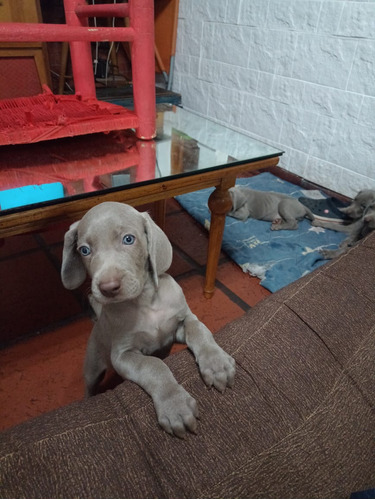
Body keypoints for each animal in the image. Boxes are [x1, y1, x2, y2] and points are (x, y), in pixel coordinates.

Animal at [61, 202, 235, 438]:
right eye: (84, 250)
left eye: (128, 239)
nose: (107, 288)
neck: (146, 302)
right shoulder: (123, 355)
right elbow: (153, 365)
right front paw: (175, 405)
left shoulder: (181, 322)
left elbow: (199, 330)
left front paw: (216, 363)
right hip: (93, 366)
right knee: (90, 385)